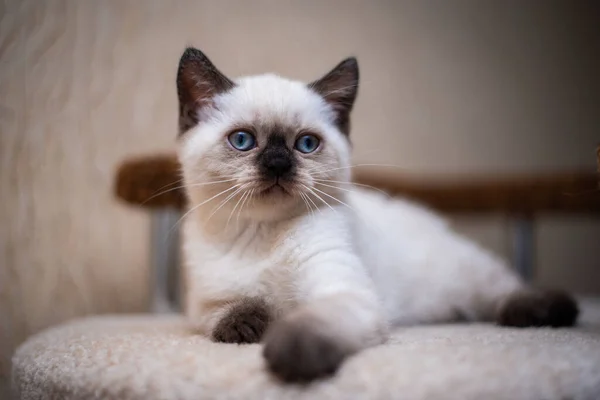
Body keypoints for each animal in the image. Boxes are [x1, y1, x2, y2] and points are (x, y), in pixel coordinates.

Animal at [176, 48, 580, 382]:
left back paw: (542, 312)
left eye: (306, 144)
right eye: (242, 140)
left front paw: (290, 355)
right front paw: (248, 327)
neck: (260, 234)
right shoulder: (203, 305)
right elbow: (228, 312)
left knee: (504, 290)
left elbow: (313, 322)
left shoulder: (344, 290)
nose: (277, 164)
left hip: (468, 276)